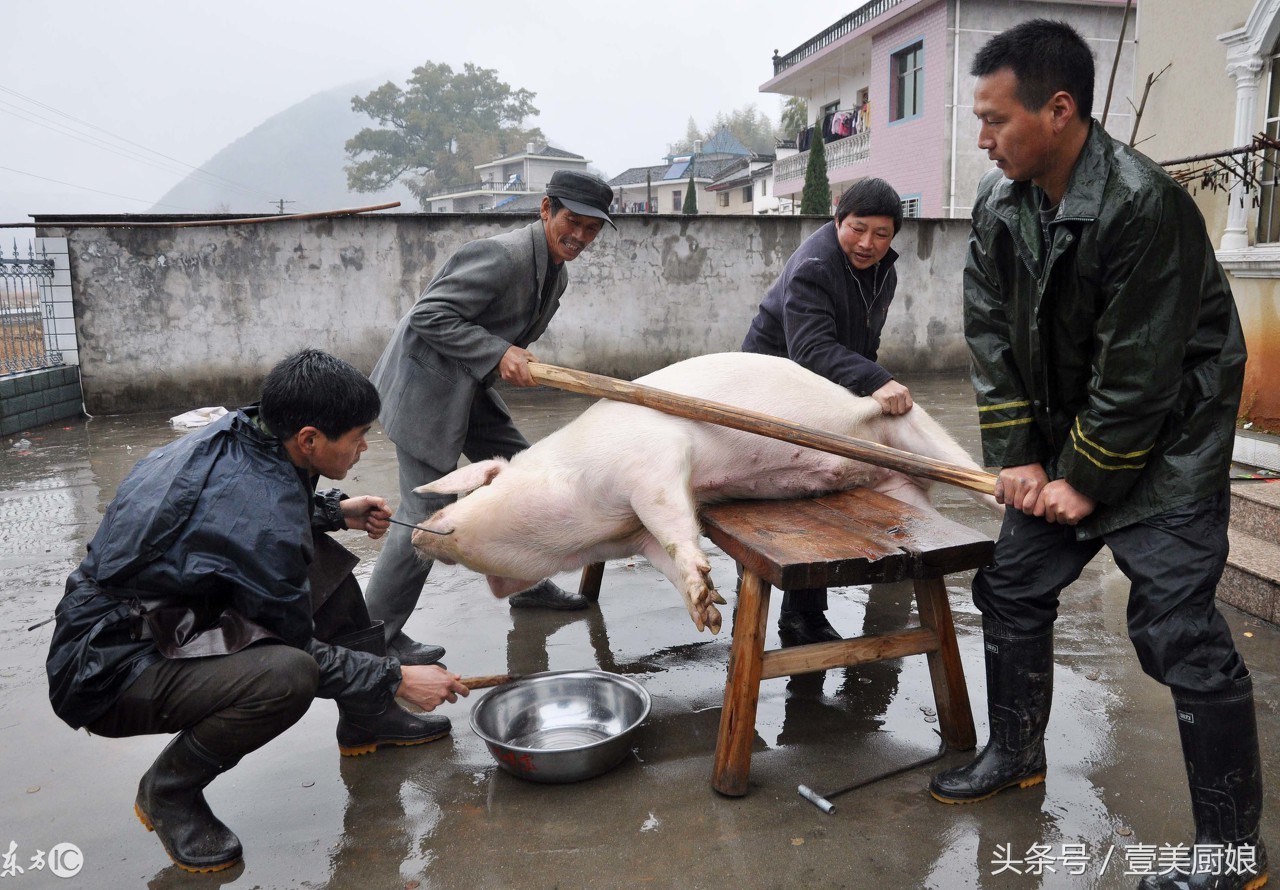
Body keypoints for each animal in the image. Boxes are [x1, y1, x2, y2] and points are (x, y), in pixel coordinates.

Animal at [412, 350, 998, 637]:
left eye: (466, 494)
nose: (417, 533)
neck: (586, 509)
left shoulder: (653, 460)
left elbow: (674, 522)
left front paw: (706, 598)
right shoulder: (633, 537)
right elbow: (662, 556)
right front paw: (709, 618)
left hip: (910, 427)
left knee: (971, 476)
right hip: (903, 489)